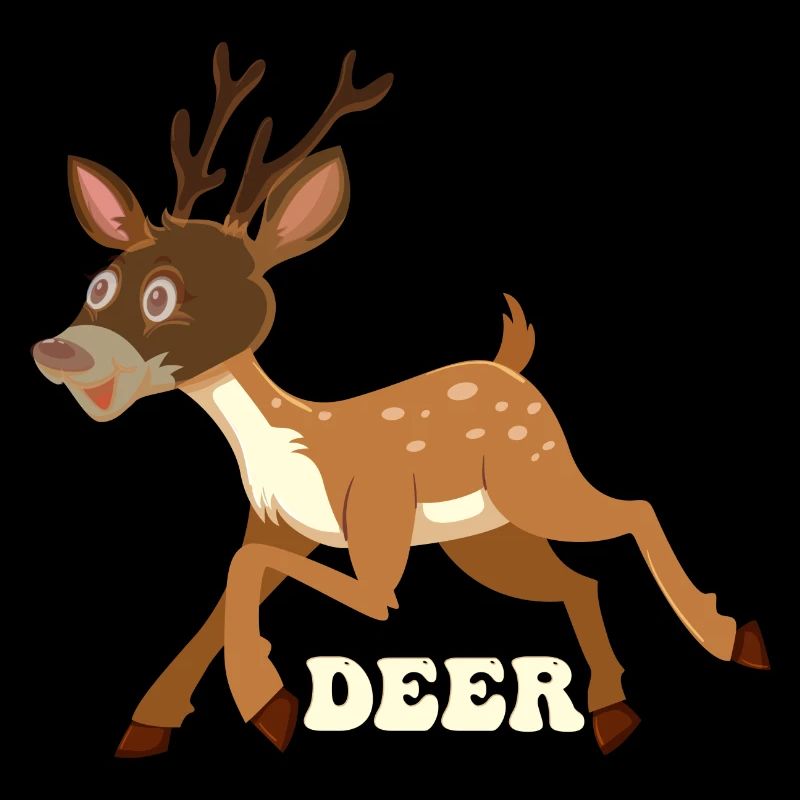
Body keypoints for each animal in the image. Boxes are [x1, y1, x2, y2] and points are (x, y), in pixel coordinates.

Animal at [32, 43, 770, 759]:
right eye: (99, 284)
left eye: (163, 295)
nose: (60, 352)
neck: (290, 444)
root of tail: (510, 365)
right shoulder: (277, 526)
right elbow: (225, 591)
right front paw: (153, 724)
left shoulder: (373, 521)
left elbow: (295, 582)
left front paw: (267, 703)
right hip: (488, 535)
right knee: (576, 581)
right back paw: (614, 712)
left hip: (536, 474)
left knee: (634, 510)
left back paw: (729, 638)